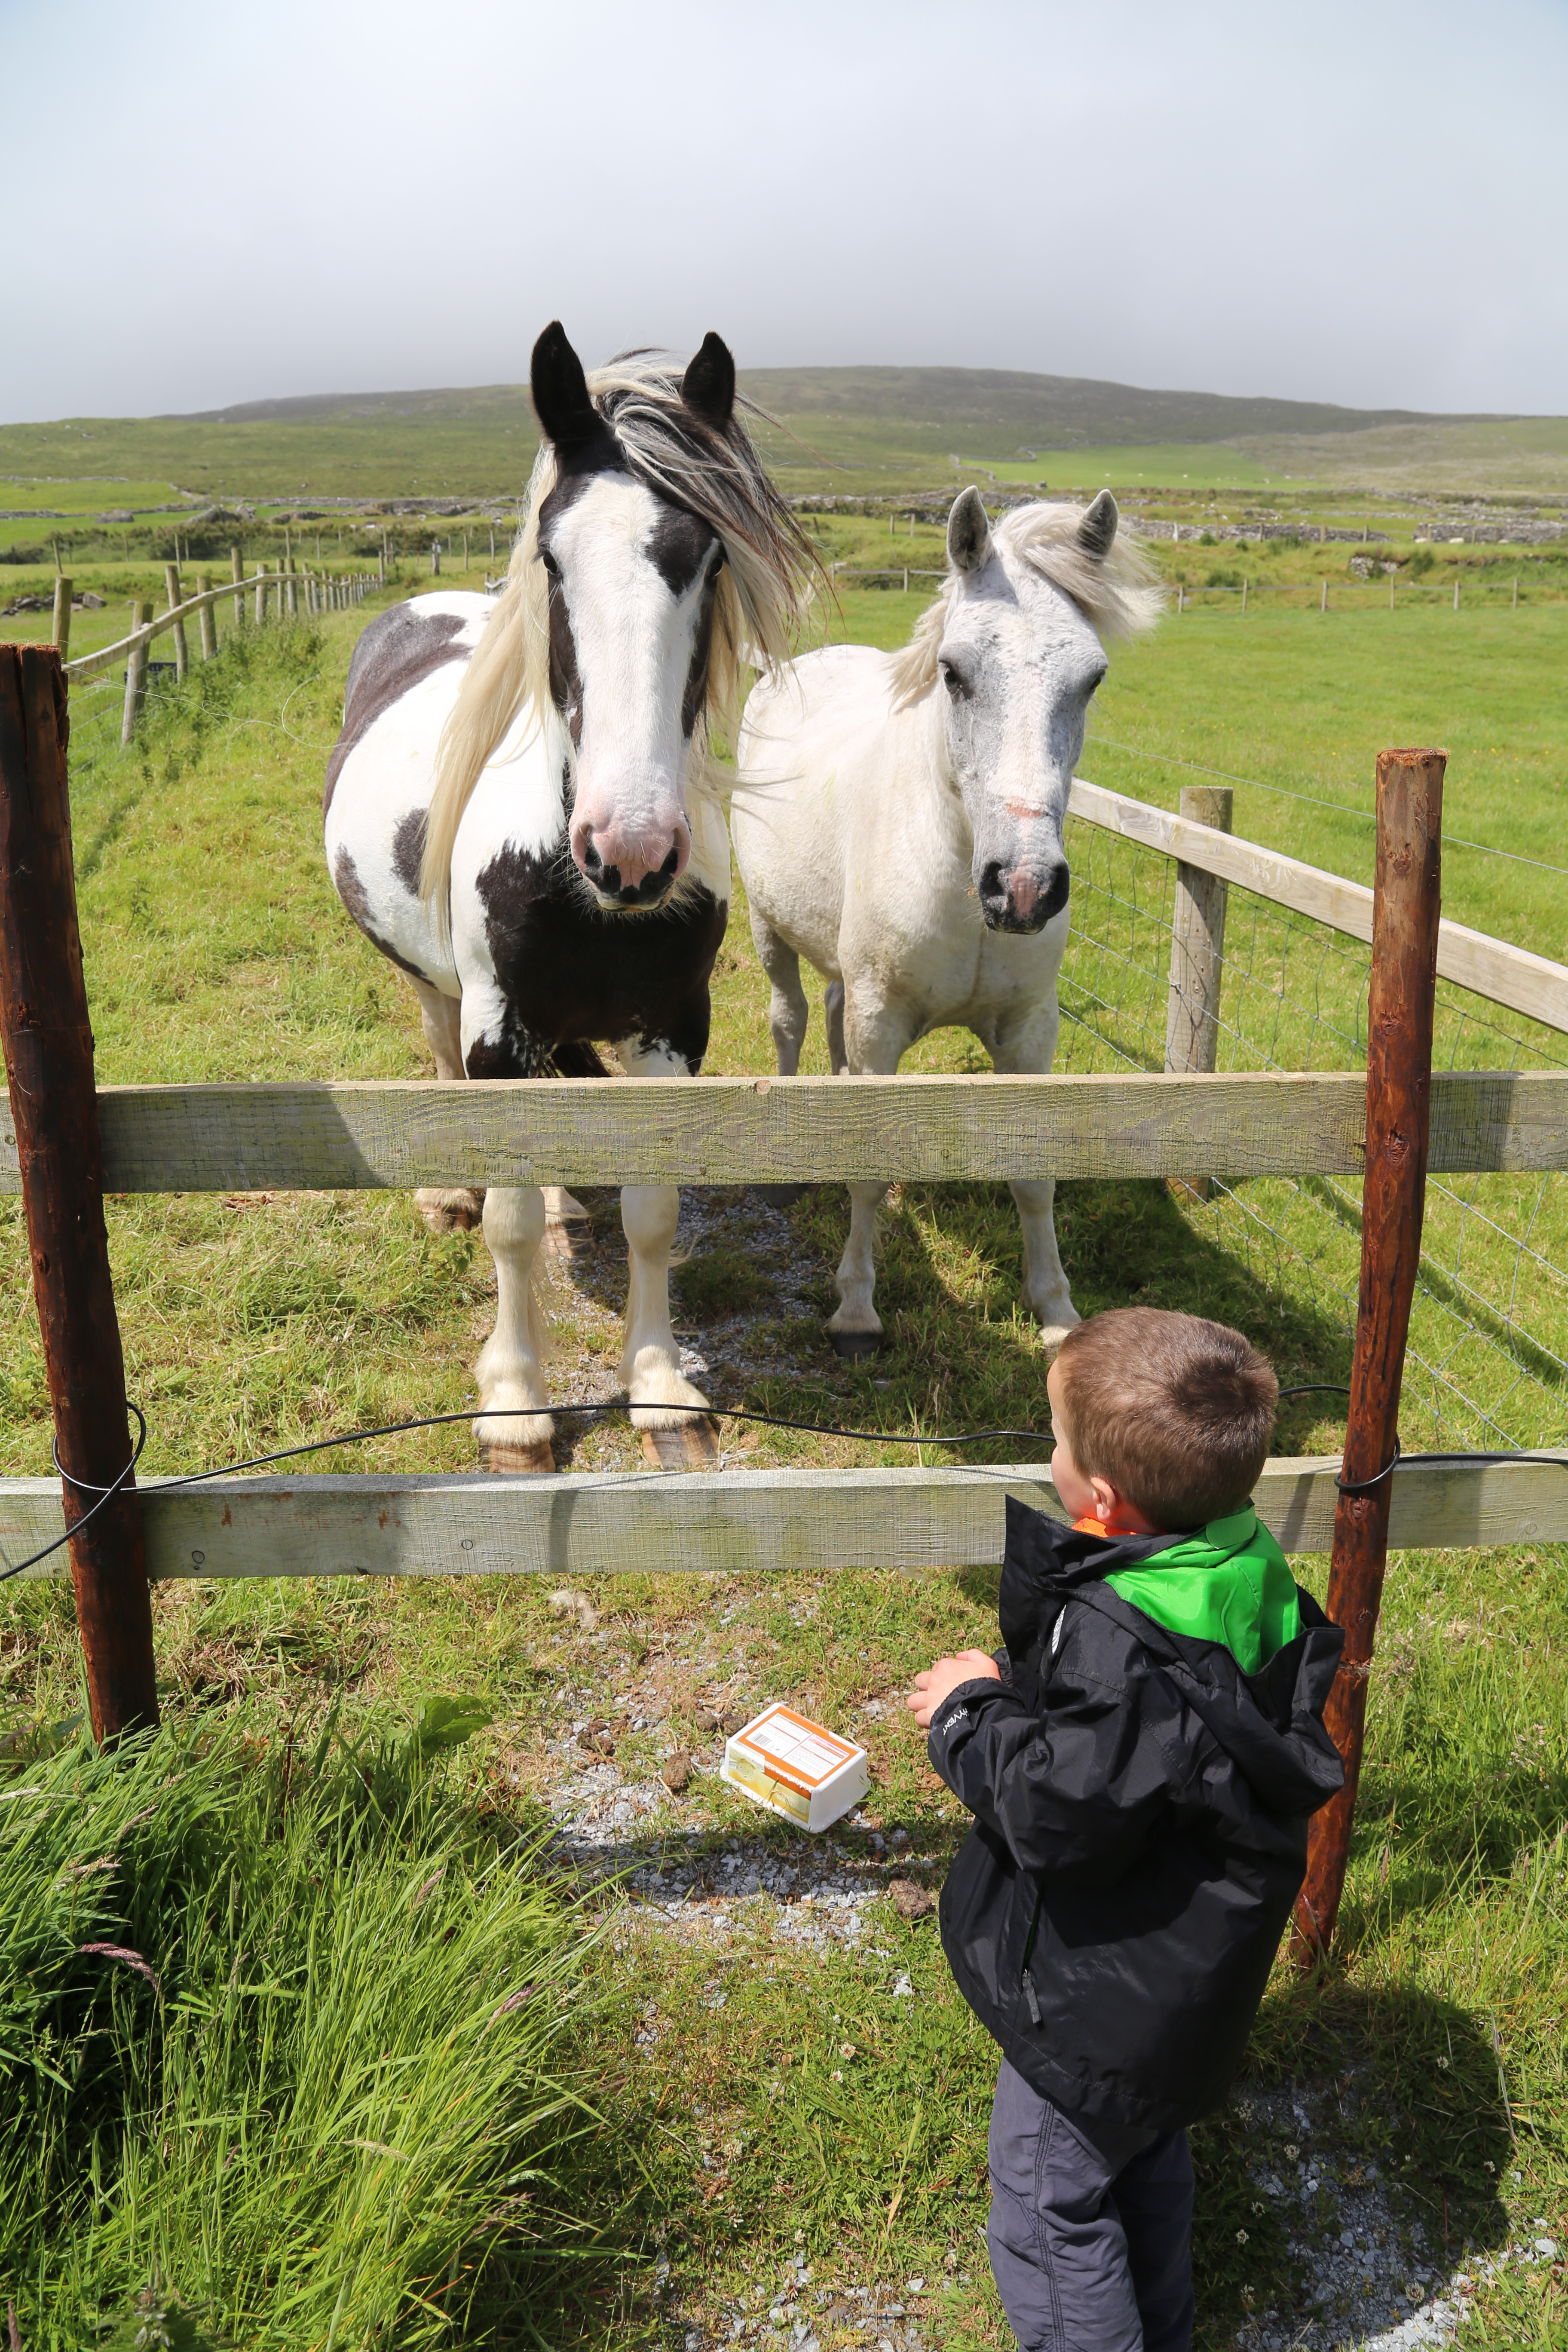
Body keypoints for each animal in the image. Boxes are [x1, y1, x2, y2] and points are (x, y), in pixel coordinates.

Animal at [319, 331, 808, 1467]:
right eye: (551, 557)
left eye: (709, 558)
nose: (631, 850)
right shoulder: (501, 1032)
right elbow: (506, 1222)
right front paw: (515, 1400)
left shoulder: (673, 1029)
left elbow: (652, 1210)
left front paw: (660, 1383)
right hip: (444, 993)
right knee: (440, 1053)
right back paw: (450, 1193)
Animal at [729, 496, 1161, 1364]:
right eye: (954, 672)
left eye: (1092, 678)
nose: (1023, 887)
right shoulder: (882, 1022)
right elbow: (868, 1169)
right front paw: (855, 1310)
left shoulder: (1028, 1031)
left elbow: (1033, 1175)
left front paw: (1057, 1313)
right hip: (768, 932)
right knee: (790, 1019)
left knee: (828, 1019)